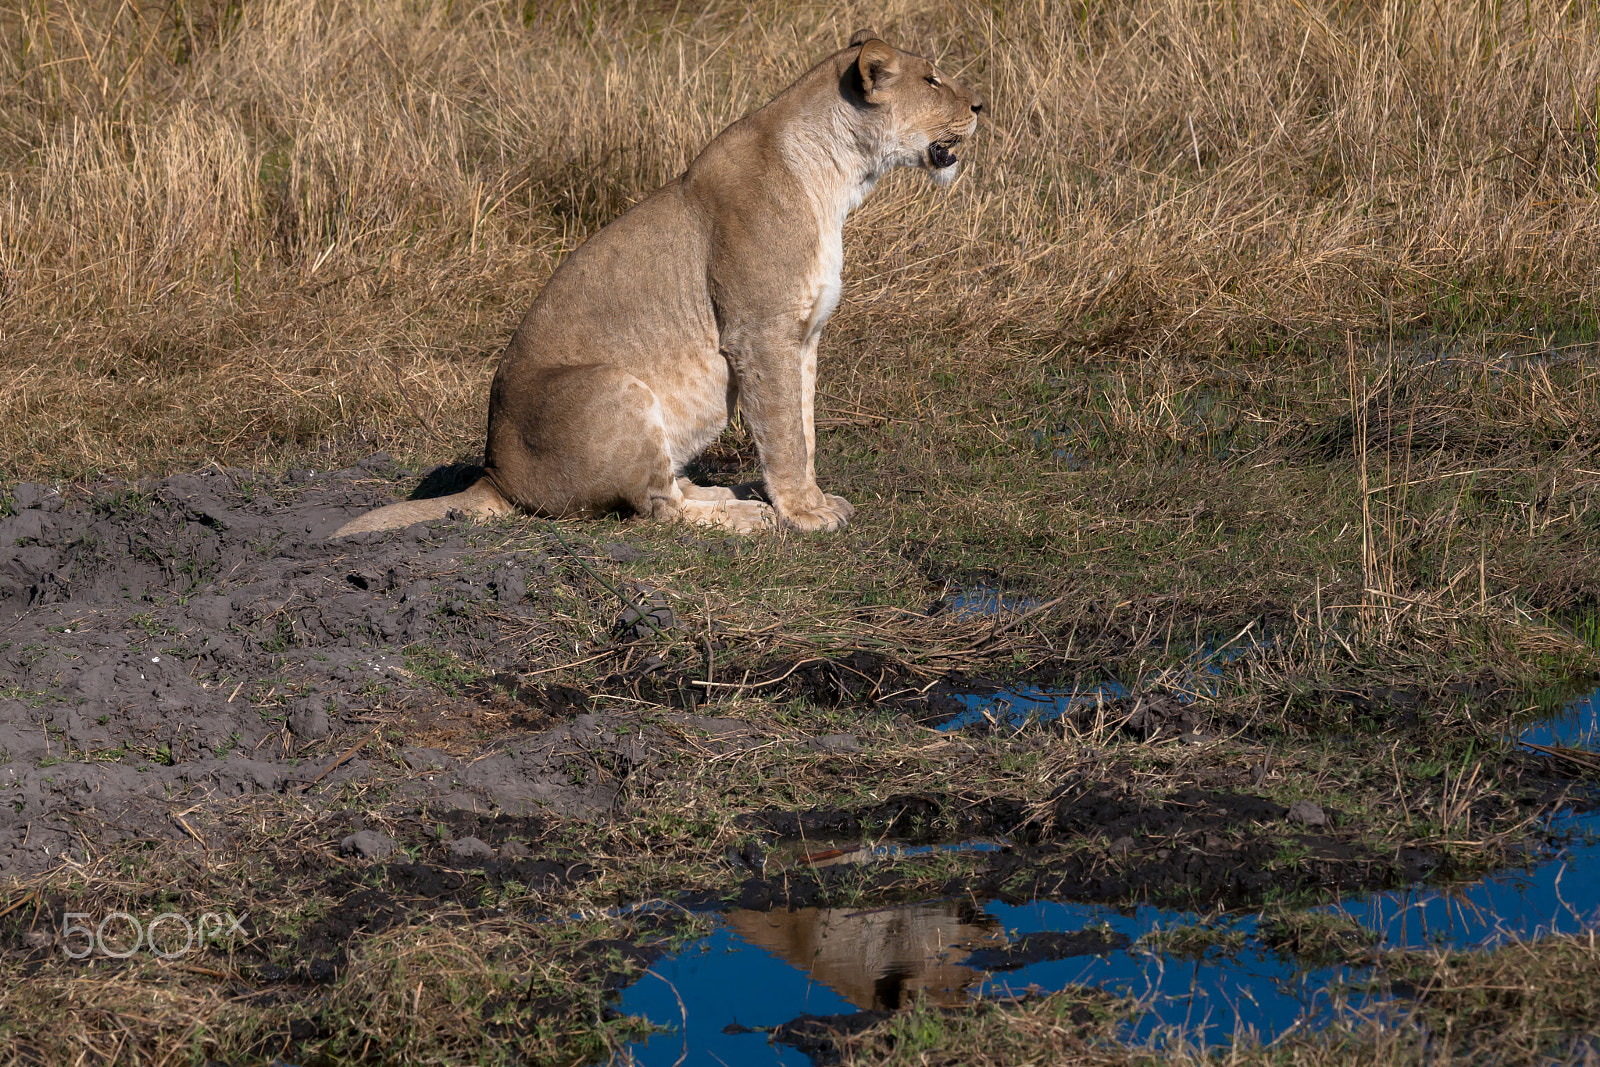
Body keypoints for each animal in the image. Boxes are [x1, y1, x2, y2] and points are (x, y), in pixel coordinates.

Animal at [332, 31, 982, 539]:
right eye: (932, 80)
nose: (980, 104)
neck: (842, 178)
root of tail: (494, 473)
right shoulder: (760, 333)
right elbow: (783, 433)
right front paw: (801, 514)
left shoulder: (803, 336)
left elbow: (804, 425)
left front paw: (815, 501)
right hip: (613, 384)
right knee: (655, 507)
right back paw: (741, 516)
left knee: (667, 488)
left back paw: (720, 494)